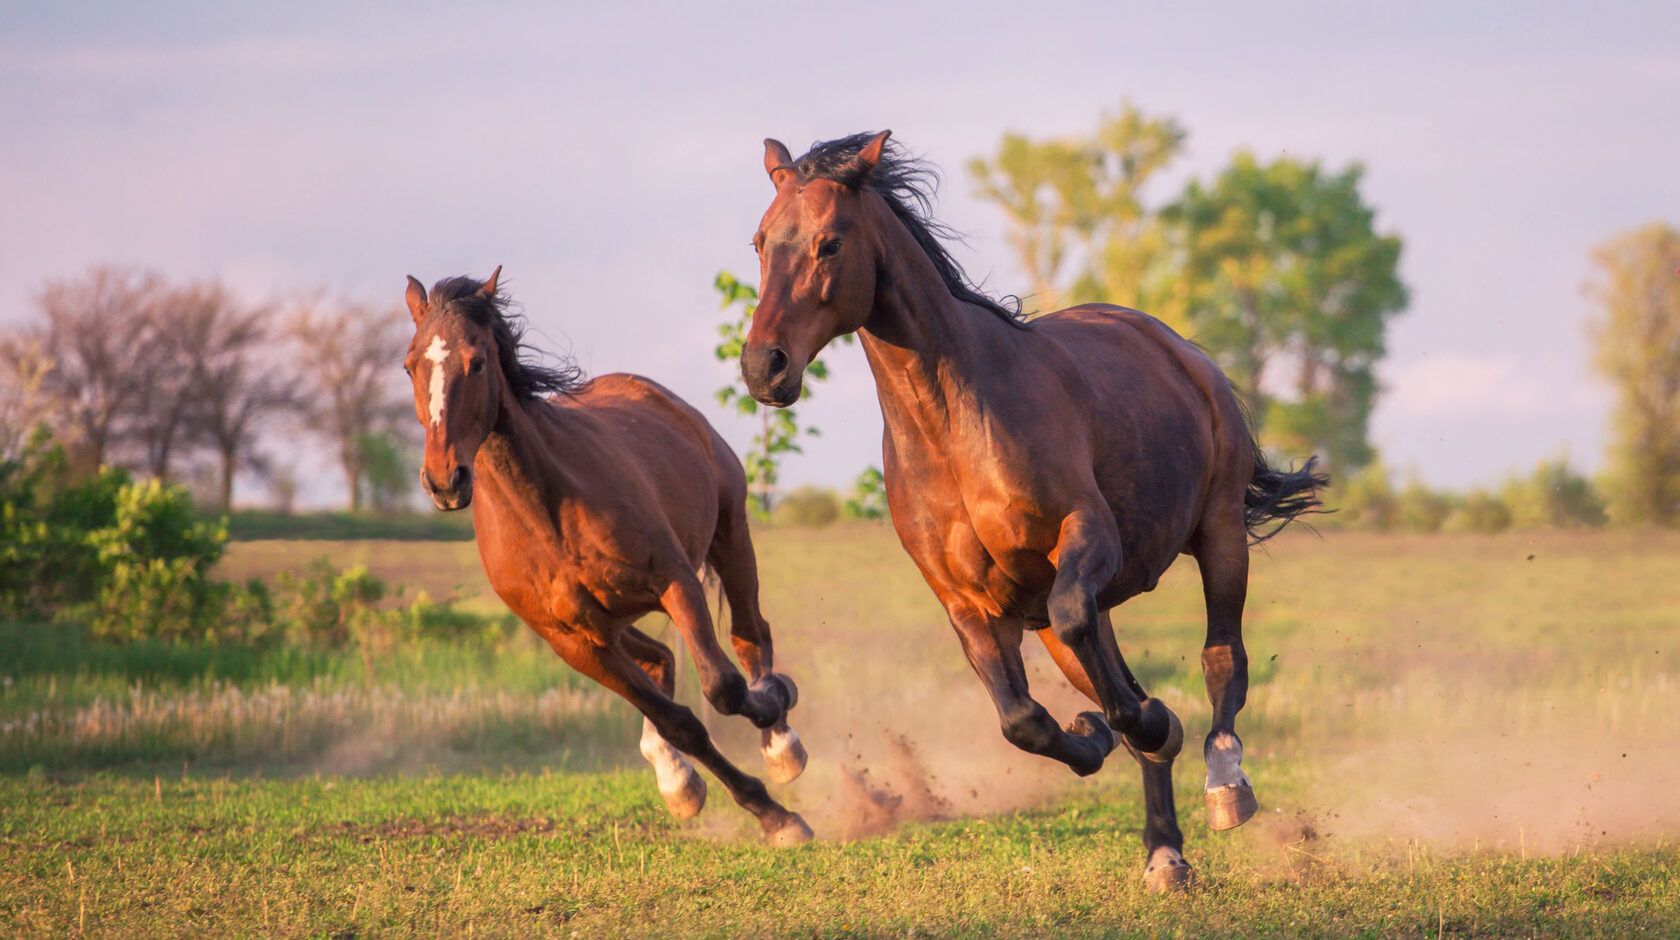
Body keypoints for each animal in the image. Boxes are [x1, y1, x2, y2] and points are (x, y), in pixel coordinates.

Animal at [402, 268, 813, 846]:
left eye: (476, 361)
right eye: (410, 364)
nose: (445, 480)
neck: (548, 513)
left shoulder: (675, 581)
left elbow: (723, 687)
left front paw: (776, 732)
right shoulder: (575, 643)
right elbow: (680, 722)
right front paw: (766, 812)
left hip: (730, 533)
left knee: (750, 635)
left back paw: (781, 744)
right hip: (613, 622)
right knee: (660, 659)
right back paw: (676, 778)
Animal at [738, 132, 1326, 889]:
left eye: (830, 243)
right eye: (760, 242)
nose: (764, 367)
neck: (954, 427)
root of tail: (1182, 351)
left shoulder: (1086, 536)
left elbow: (1123, 672)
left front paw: (1150, 726)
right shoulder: (968, 602)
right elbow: (1023, 719)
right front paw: (1098, 732)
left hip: (1220, 533)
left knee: (1223, 656)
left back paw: (1225, 780)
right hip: (1056, 621)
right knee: (1114, 675)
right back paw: (1164, 851)